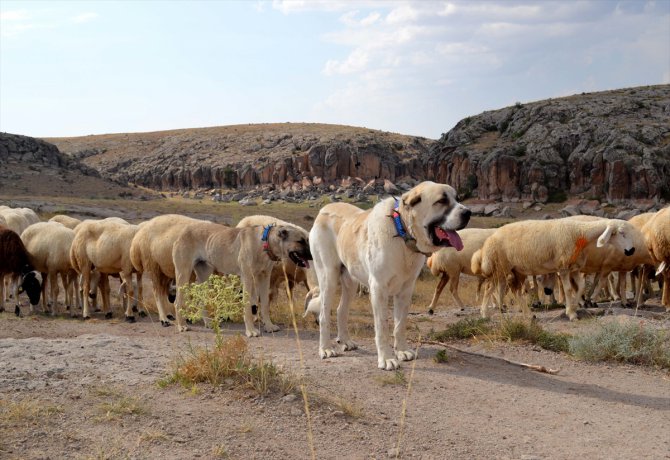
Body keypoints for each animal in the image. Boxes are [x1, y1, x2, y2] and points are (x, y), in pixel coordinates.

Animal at [310, 181, 472, 370]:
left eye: (457, 198)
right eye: (441, 201)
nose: (468, 212)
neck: (402, 233)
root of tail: (324, 209)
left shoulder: (406, 290)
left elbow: (399, 325)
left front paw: (401, 351)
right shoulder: (379, 289)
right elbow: (383, 327)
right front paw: (386, 358)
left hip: (350, 282)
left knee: (340, 310)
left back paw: (345, 341)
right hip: (328, 278)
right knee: (323, 315)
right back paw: (325, 349)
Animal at [478, 217, 640, 320]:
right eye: (621, 233)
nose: (631, 251)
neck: (579, 233)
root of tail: (490, 239)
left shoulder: (574, 268)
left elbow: (580, 287)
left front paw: (575, 306)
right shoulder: (563, 268)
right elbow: (568, 289)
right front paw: (571, 313)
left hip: (518, 270)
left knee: (516, 291)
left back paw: (529, 315)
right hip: (500, 267)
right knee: (489, 288)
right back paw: (484, 314)